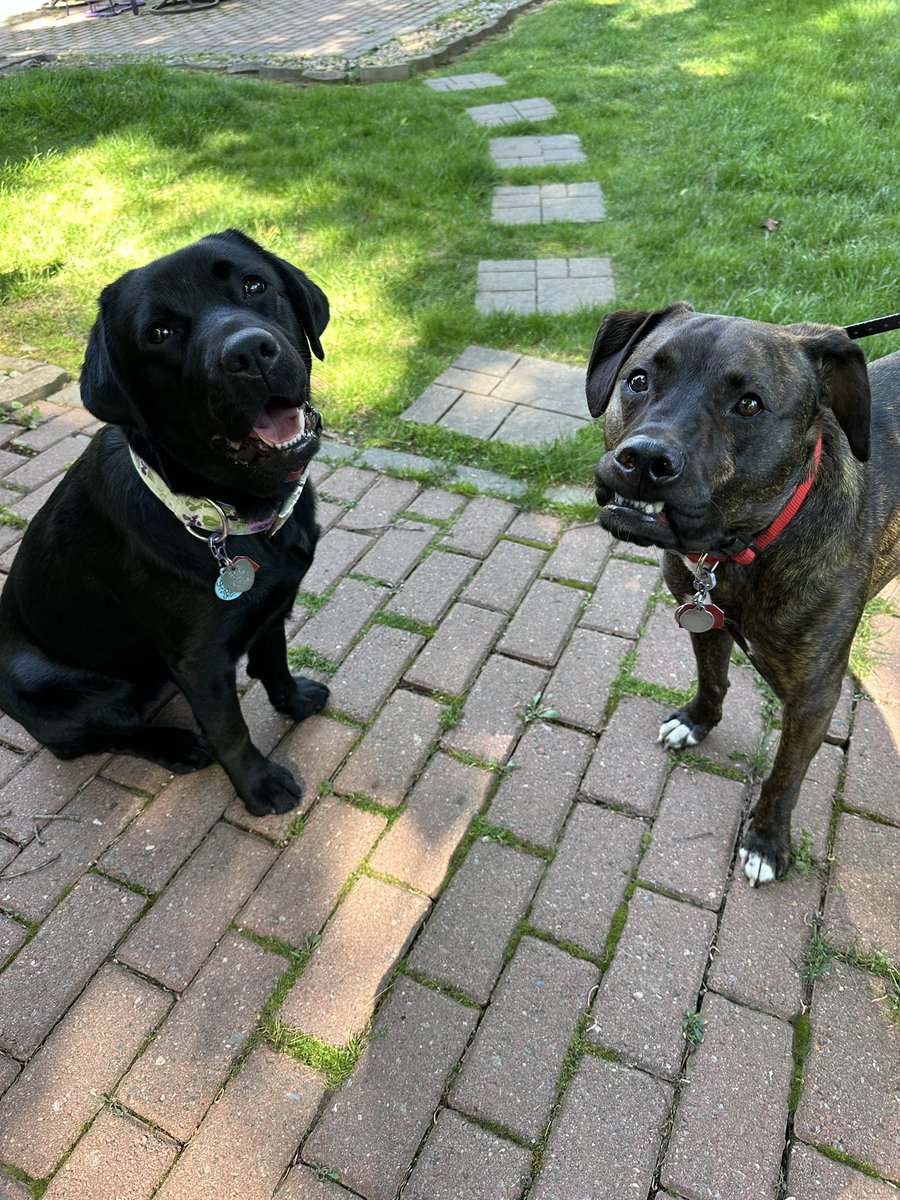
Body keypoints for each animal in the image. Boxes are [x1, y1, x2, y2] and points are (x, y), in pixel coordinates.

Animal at [0, 231, 331, 816]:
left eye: (254, 285)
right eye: (160, 334)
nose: (250, 352)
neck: (223, 511)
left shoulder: (273, 609)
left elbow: (274, 662)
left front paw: (295, 701)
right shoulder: (200, 663)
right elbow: (230, 731)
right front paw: (259, 785)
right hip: (56, 688)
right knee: (94, 737)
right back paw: (175, 745)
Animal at [588, 304, 897, 888]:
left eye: (749, 404)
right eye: (638, 380)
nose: (644, 459)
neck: (741, 551)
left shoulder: (815, 697)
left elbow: (785, 776)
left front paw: (767, 842)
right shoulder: (704, 622)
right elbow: (713, 679)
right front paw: (696, 722)